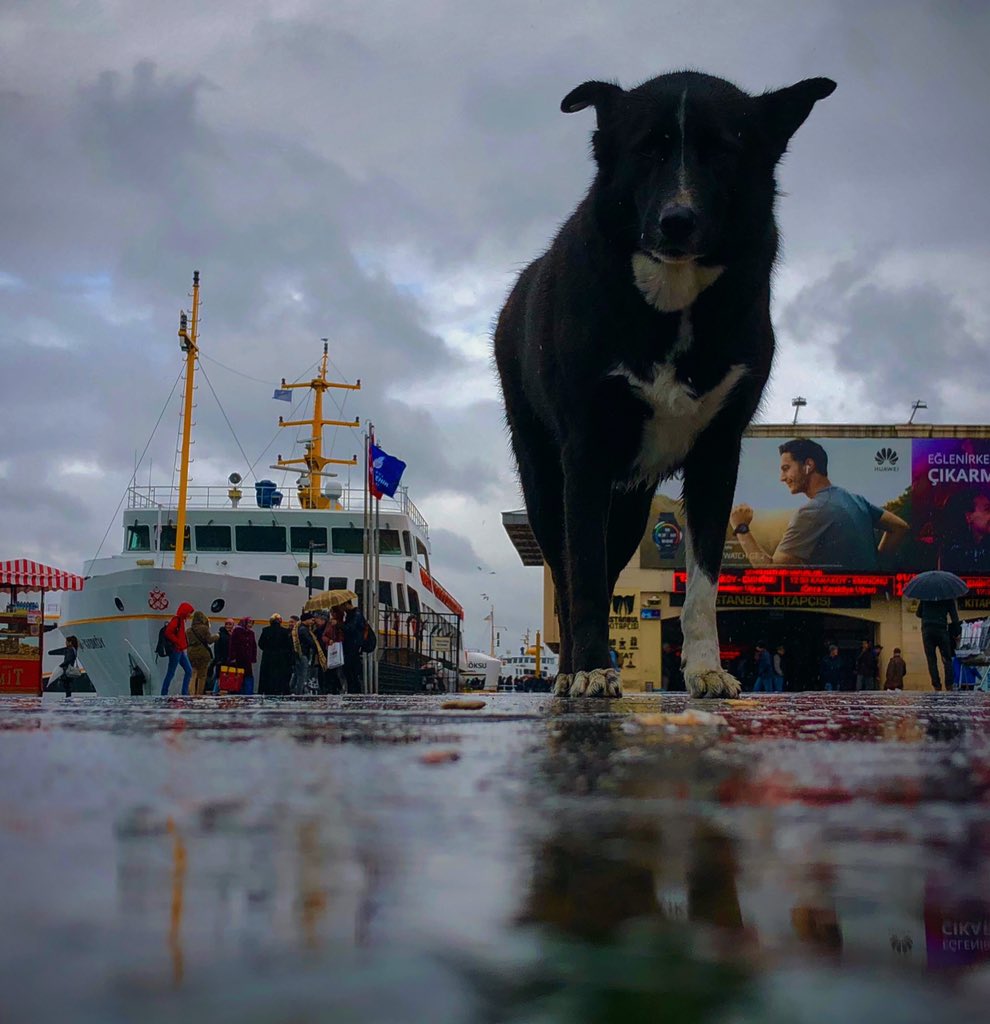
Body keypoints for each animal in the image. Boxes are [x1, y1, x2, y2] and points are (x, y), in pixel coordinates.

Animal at [495, 72, 835, 696]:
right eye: (648, 150)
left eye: (722, 151)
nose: (678, 220)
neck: (673, 298)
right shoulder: (584, 454)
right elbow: (582, 575)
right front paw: (591, 669)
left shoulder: (717, 455)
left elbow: (701, 583)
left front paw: (705, 669)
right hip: (543, 483)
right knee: (569, 570)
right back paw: (572, 668)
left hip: (630, 507)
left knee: (607, 570)